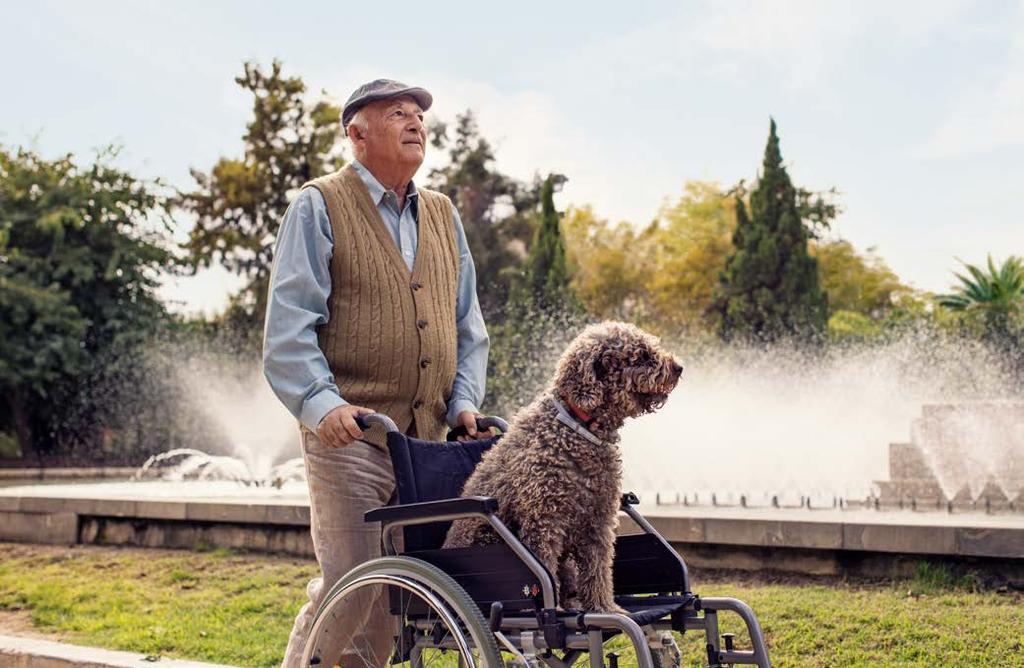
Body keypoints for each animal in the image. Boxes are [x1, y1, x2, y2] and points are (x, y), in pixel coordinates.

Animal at [444, 321, 684, 614]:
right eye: (641, 356)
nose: (679, 367)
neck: (577, 427)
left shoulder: (598, 521)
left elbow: (598, 570)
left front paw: (604, 608)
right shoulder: (544, 519)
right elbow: (545, 571)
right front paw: (554, 611)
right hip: (490, 538)